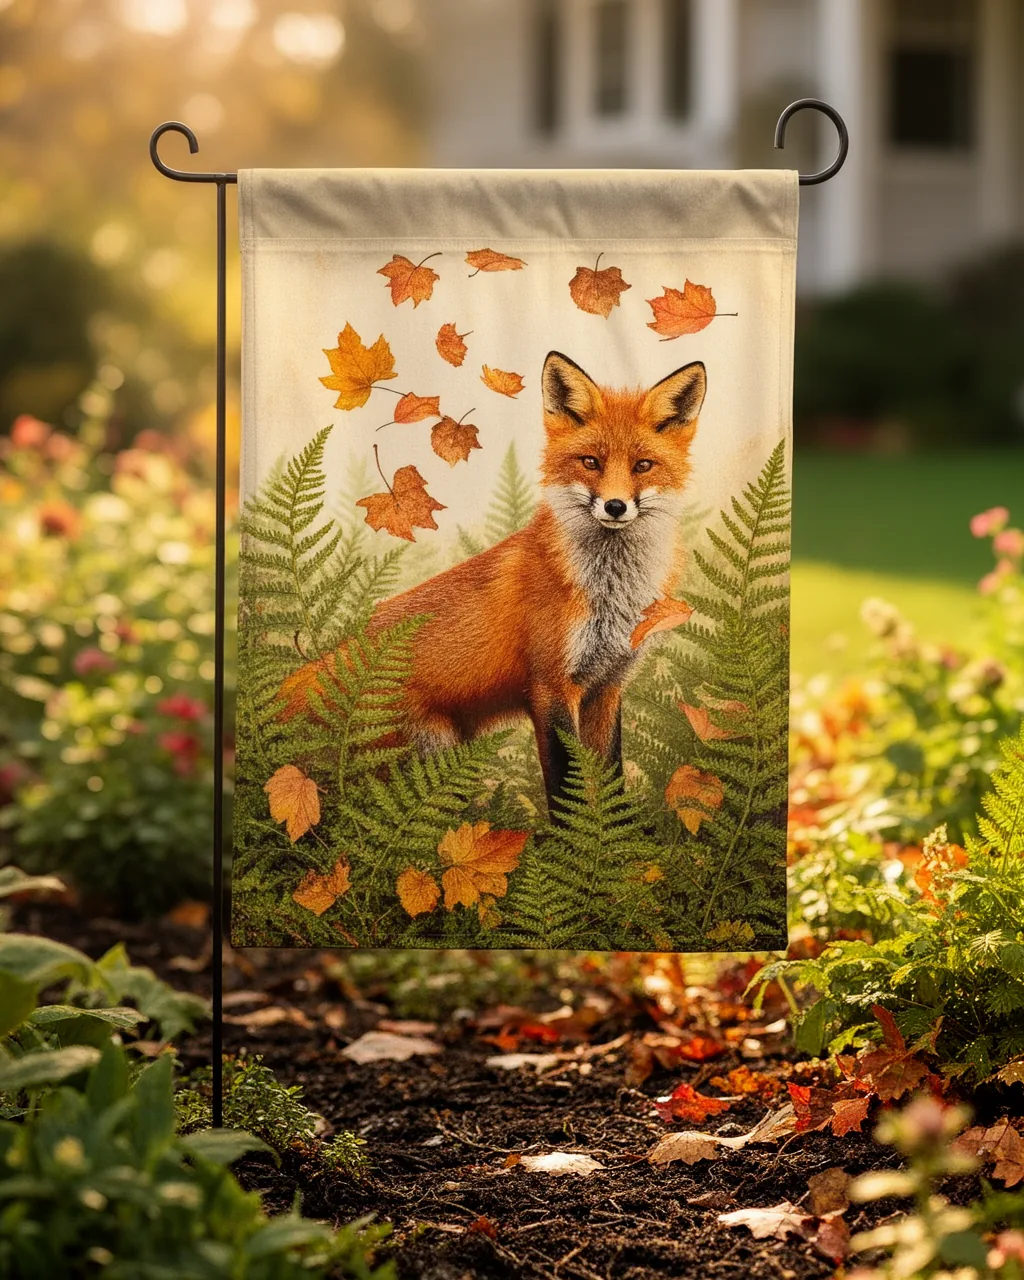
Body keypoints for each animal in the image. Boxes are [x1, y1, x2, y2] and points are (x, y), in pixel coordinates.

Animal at [290, 351, 706, 815]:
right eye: (590, 462)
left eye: (643, 466)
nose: (615, 506)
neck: (610, 594)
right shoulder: (550, 688)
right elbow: (566, 790)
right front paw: (573, 835)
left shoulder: (607, 685)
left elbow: (611, 777)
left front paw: (615, 833)